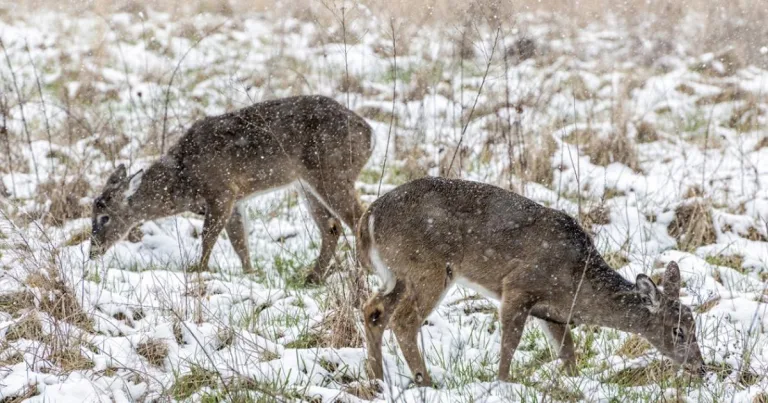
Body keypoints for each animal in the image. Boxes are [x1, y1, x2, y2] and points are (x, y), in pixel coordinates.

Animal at [89, 95, 372, 283]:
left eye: (105, 217)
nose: (92, 251)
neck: (184, 178)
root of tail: (370, 135)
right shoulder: (235, 199)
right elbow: (239, 241)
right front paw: (251, 274)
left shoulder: (221, 190)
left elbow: (209, 236)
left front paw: (198, 270)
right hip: (306, 184)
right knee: (332, 227)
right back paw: (312, 278)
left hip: (332, 172)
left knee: (357, 218)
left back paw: (363, 274)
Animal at [357, 177, 705, 386]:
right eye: (678, 330)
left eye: (695, 326)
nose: (701, 368)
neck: (577, 279)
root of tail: (368, 218)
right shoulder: (518, 287)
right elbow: (509, 345)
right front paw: (503, 384)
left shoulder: (554, 314)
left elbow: (568, 353)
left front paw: (574, 382)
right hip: (426, 268)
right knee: (404, 320)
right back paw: (425, 383)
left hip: (397, 273)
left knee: (373, 310)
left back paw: (378, 380)